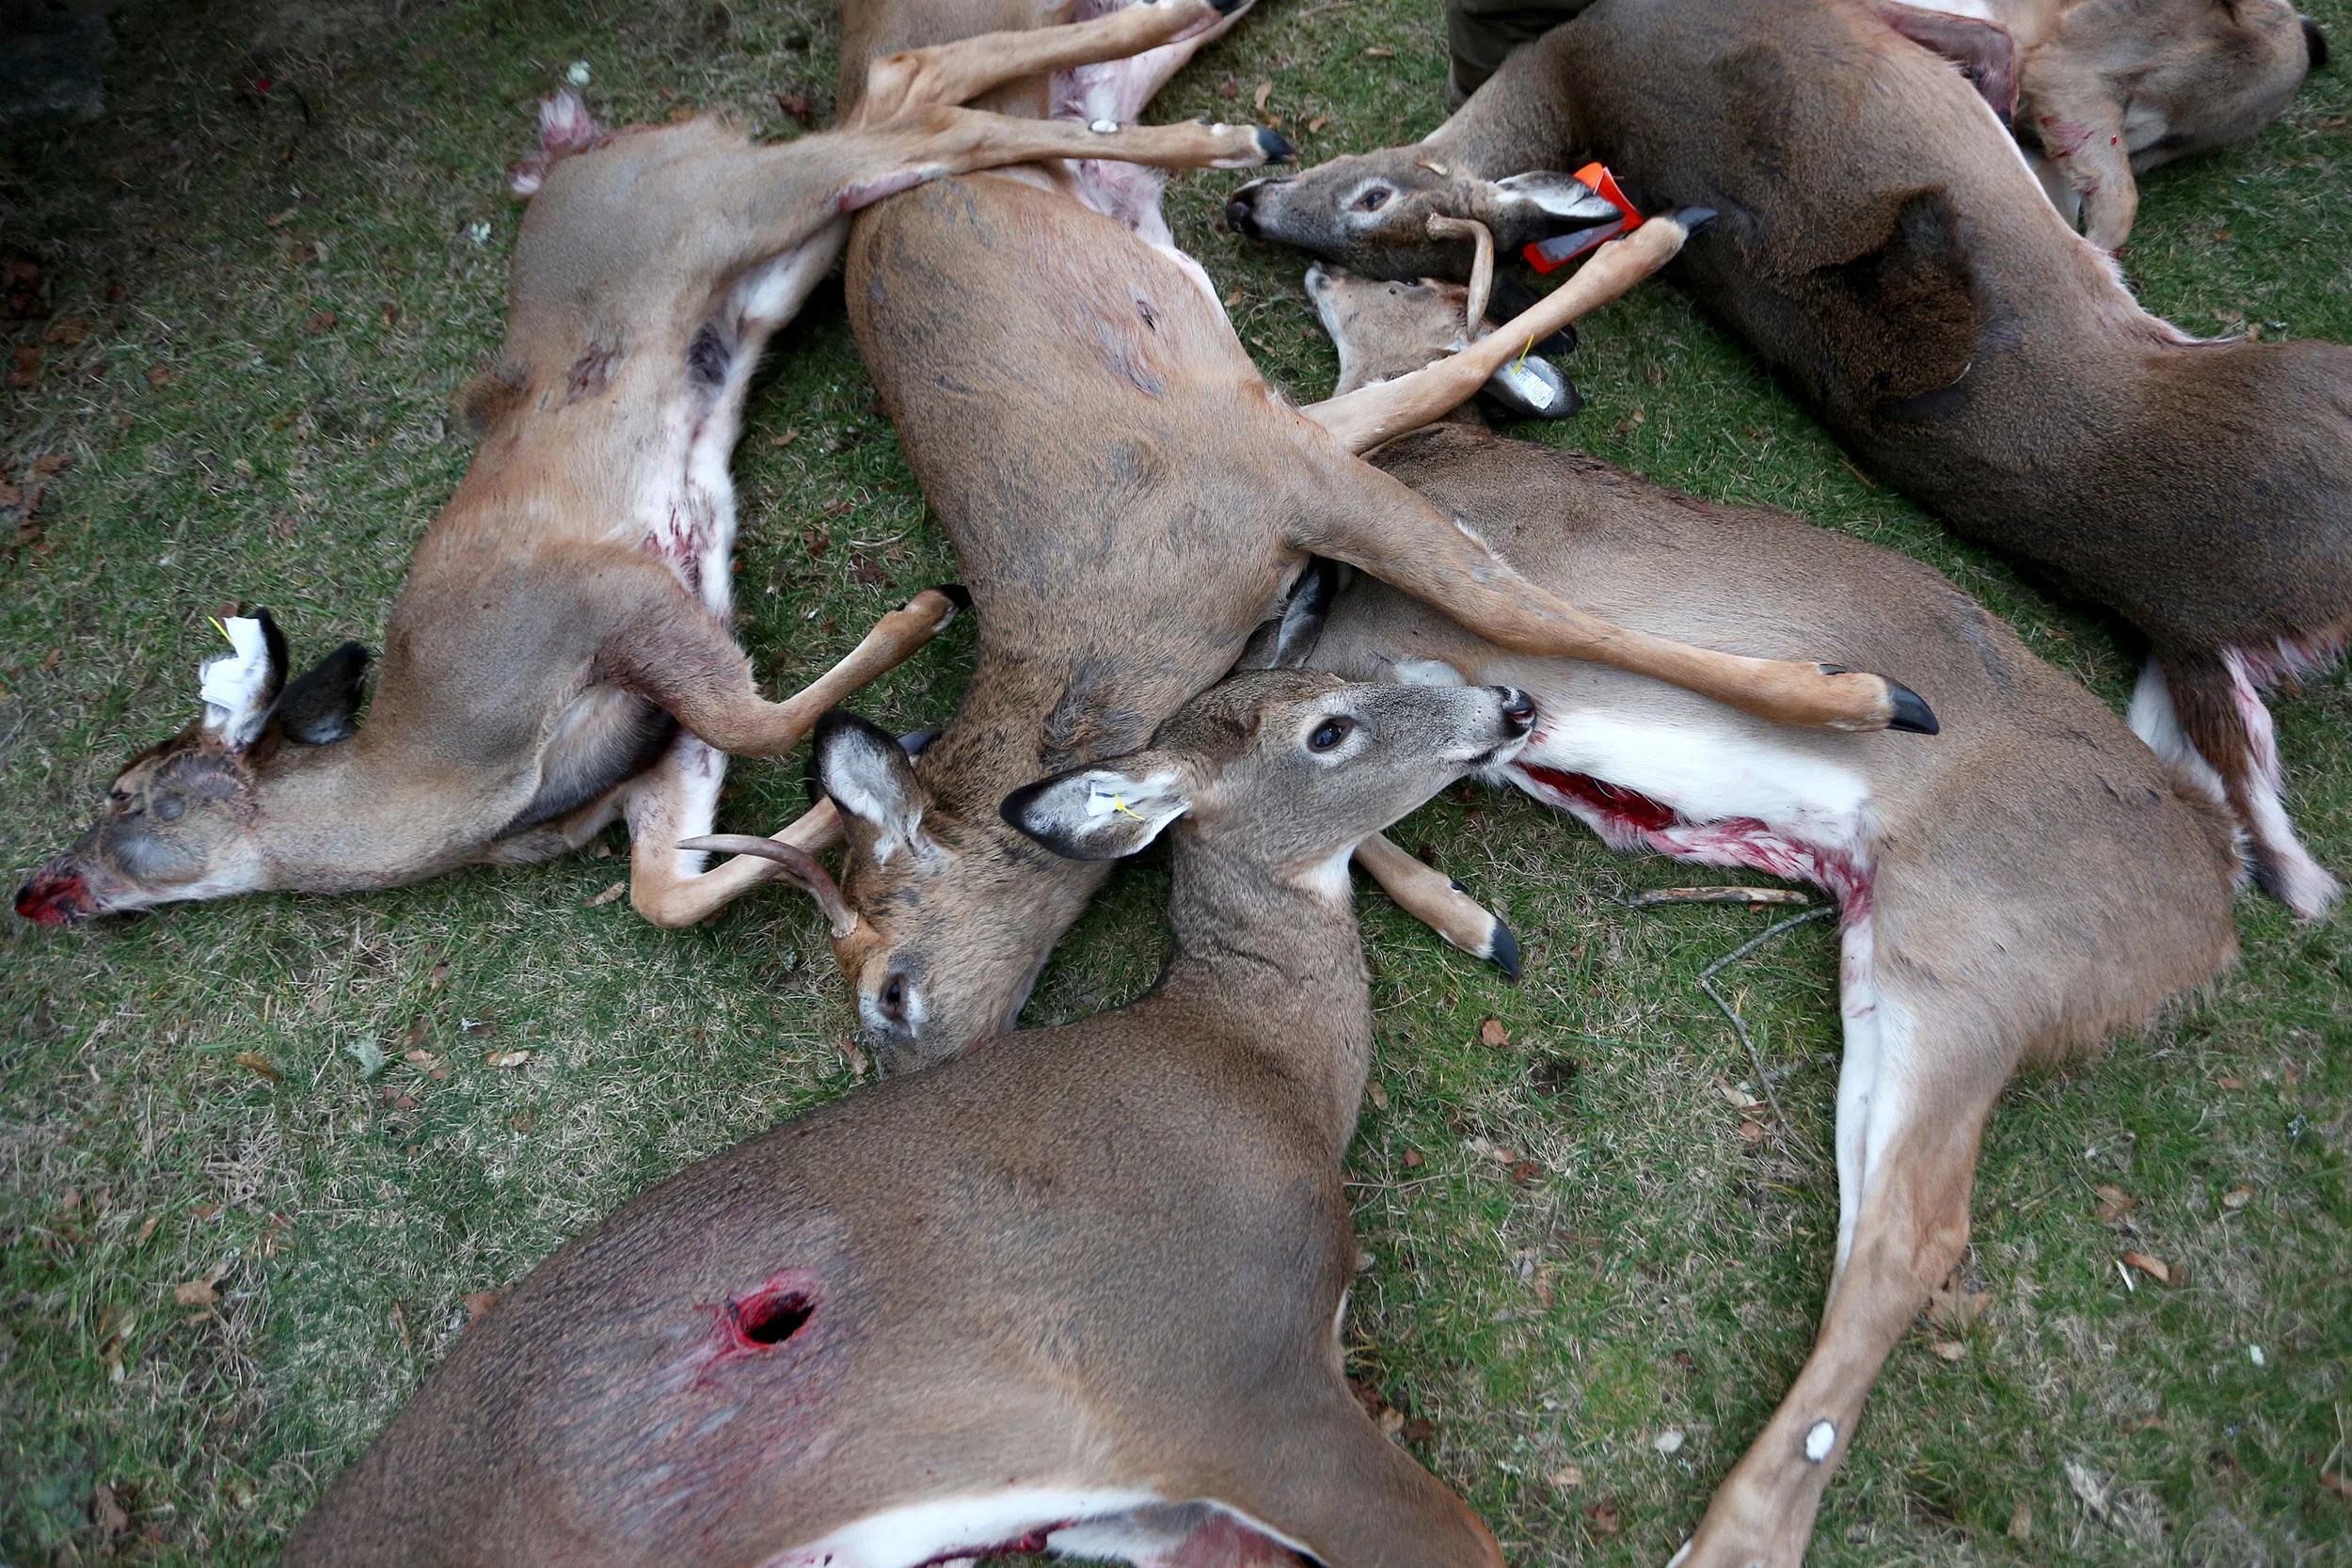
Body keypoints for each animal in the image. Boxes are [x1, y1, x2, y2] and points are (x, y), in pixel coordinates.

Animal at [11, 0, 1292, 931]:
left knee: (925, 113)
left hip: (721, 207)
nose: (40, 886)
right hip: (774, 246)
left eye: (124, 791)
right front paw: (846, 808)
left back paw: (1228, 132)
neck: (449, 779)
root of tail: (578, 152)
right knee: (914, 95)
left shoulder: (594, 593)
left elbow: (760, 722)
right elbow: (662, 885)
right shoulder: (650, 760)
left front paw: (923, 625)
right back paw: (1198, 56)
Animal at [285, 669, 1536, 1568]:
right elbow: (1469, 1542)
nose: (1511, 703)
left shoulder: (1139, 1499)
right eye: (1328, 729)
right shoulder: (1218, 1365)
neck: (1257, 1067)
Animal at [673, 0, 1940, 1074]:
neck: (1118, 620)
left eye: (887, 987)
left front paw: (1864, 696)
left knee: (916, 84)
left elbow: (1502, 580)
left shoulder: (1275, 460)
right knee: (952, 91)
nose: (910, 1067)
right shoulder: (1288, 459)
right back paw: (1217, 100)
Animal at [1280, 260, 2244, 1568]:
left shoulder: (1405, 639)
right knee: (1874, 1218)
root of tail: (2213, 908)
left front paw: (1469, 916)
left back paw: (1732, 1534)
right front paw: (1475, 917)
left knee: (1913, 1235)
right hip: (1888, 956)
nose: (1317, 262)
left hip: (1978, 949)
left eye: (1412, 278)